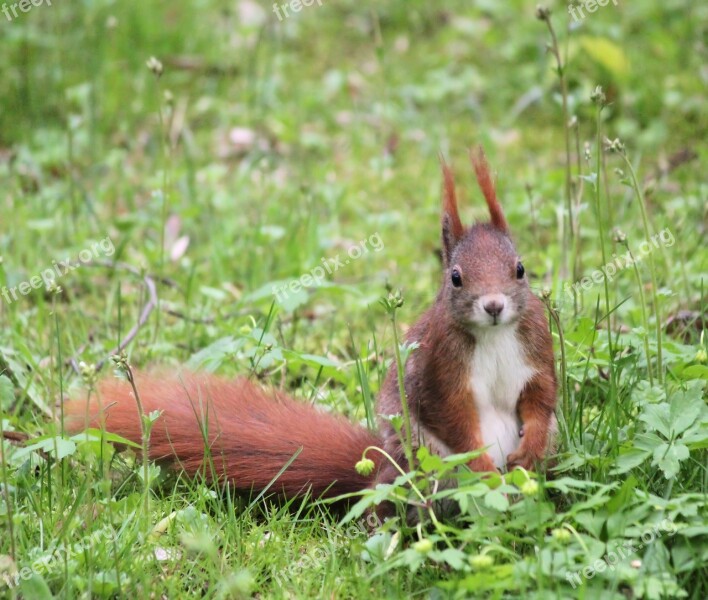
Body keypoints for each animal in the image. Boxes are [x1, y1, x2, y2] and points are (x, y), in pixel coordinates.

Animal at [63, 148, 556, 504]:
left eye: (520, 269)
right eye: (455, 277)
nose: (493, 305)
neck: (493, 335)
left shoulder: (535, 347)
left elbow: (540, 398)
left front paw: (528, 447)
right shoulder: (440, 368)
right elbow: (452, 418)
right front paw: (482, 467)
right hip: (421, 469)